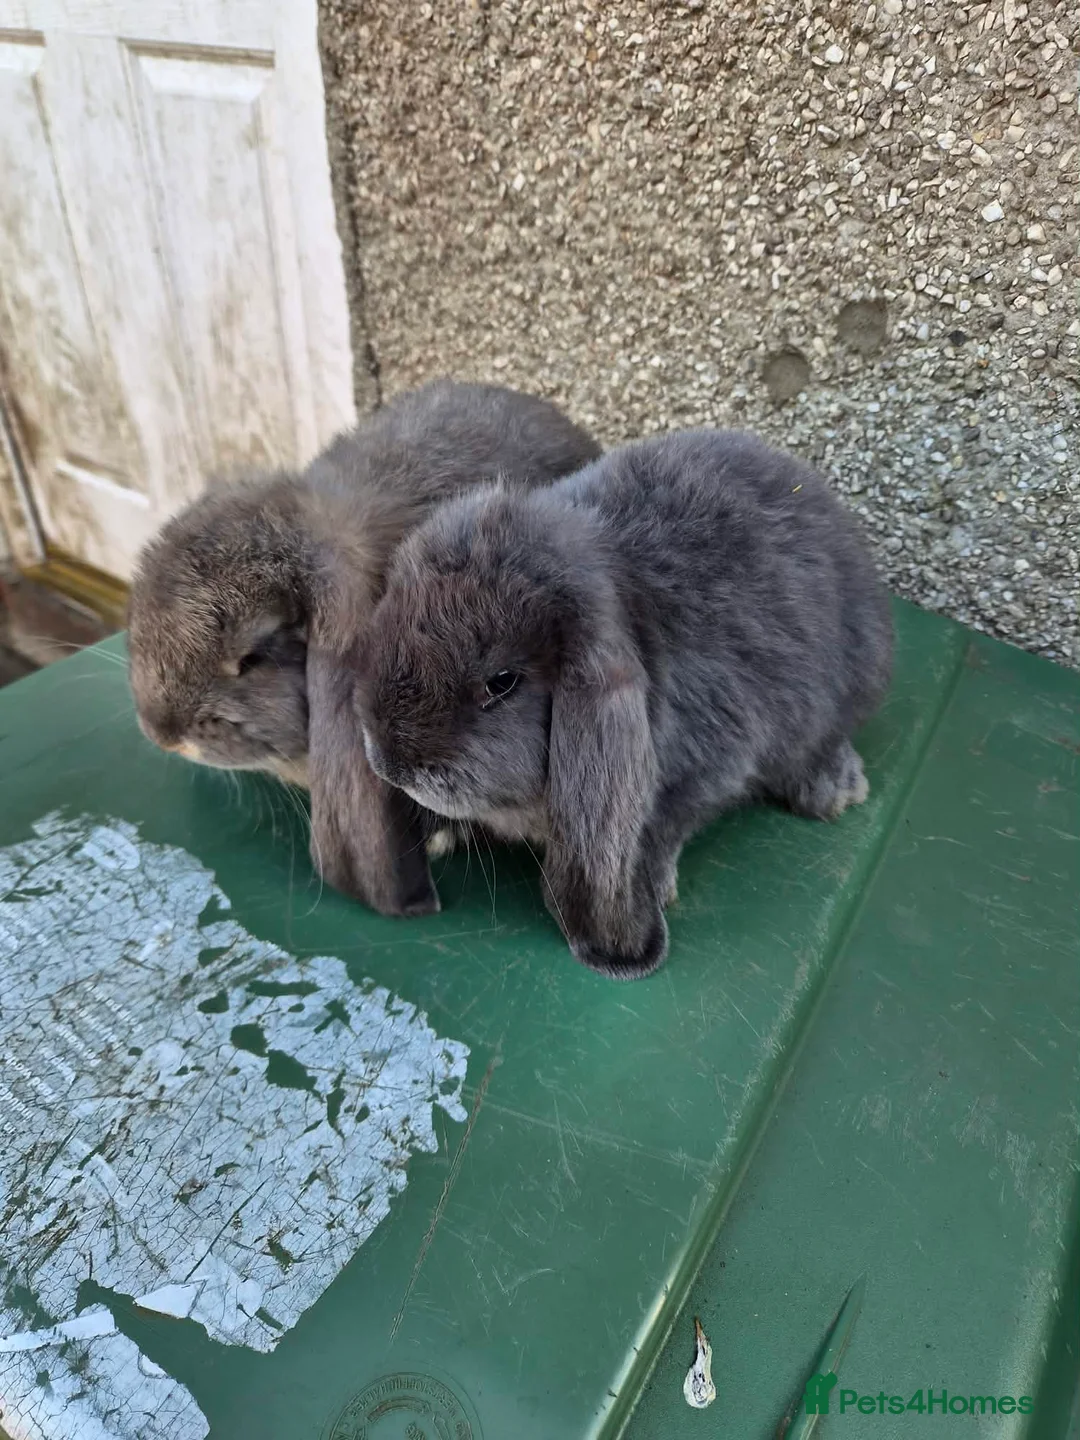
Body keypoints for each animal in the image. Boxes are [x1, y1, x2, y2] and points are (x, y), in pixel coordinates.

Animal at [356, 428, 893, 978]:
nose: (390, 764)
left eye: (502, 682)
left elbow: (660, 827)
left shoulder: (707, 769)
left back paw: (834, 790)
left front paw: (649, 891)